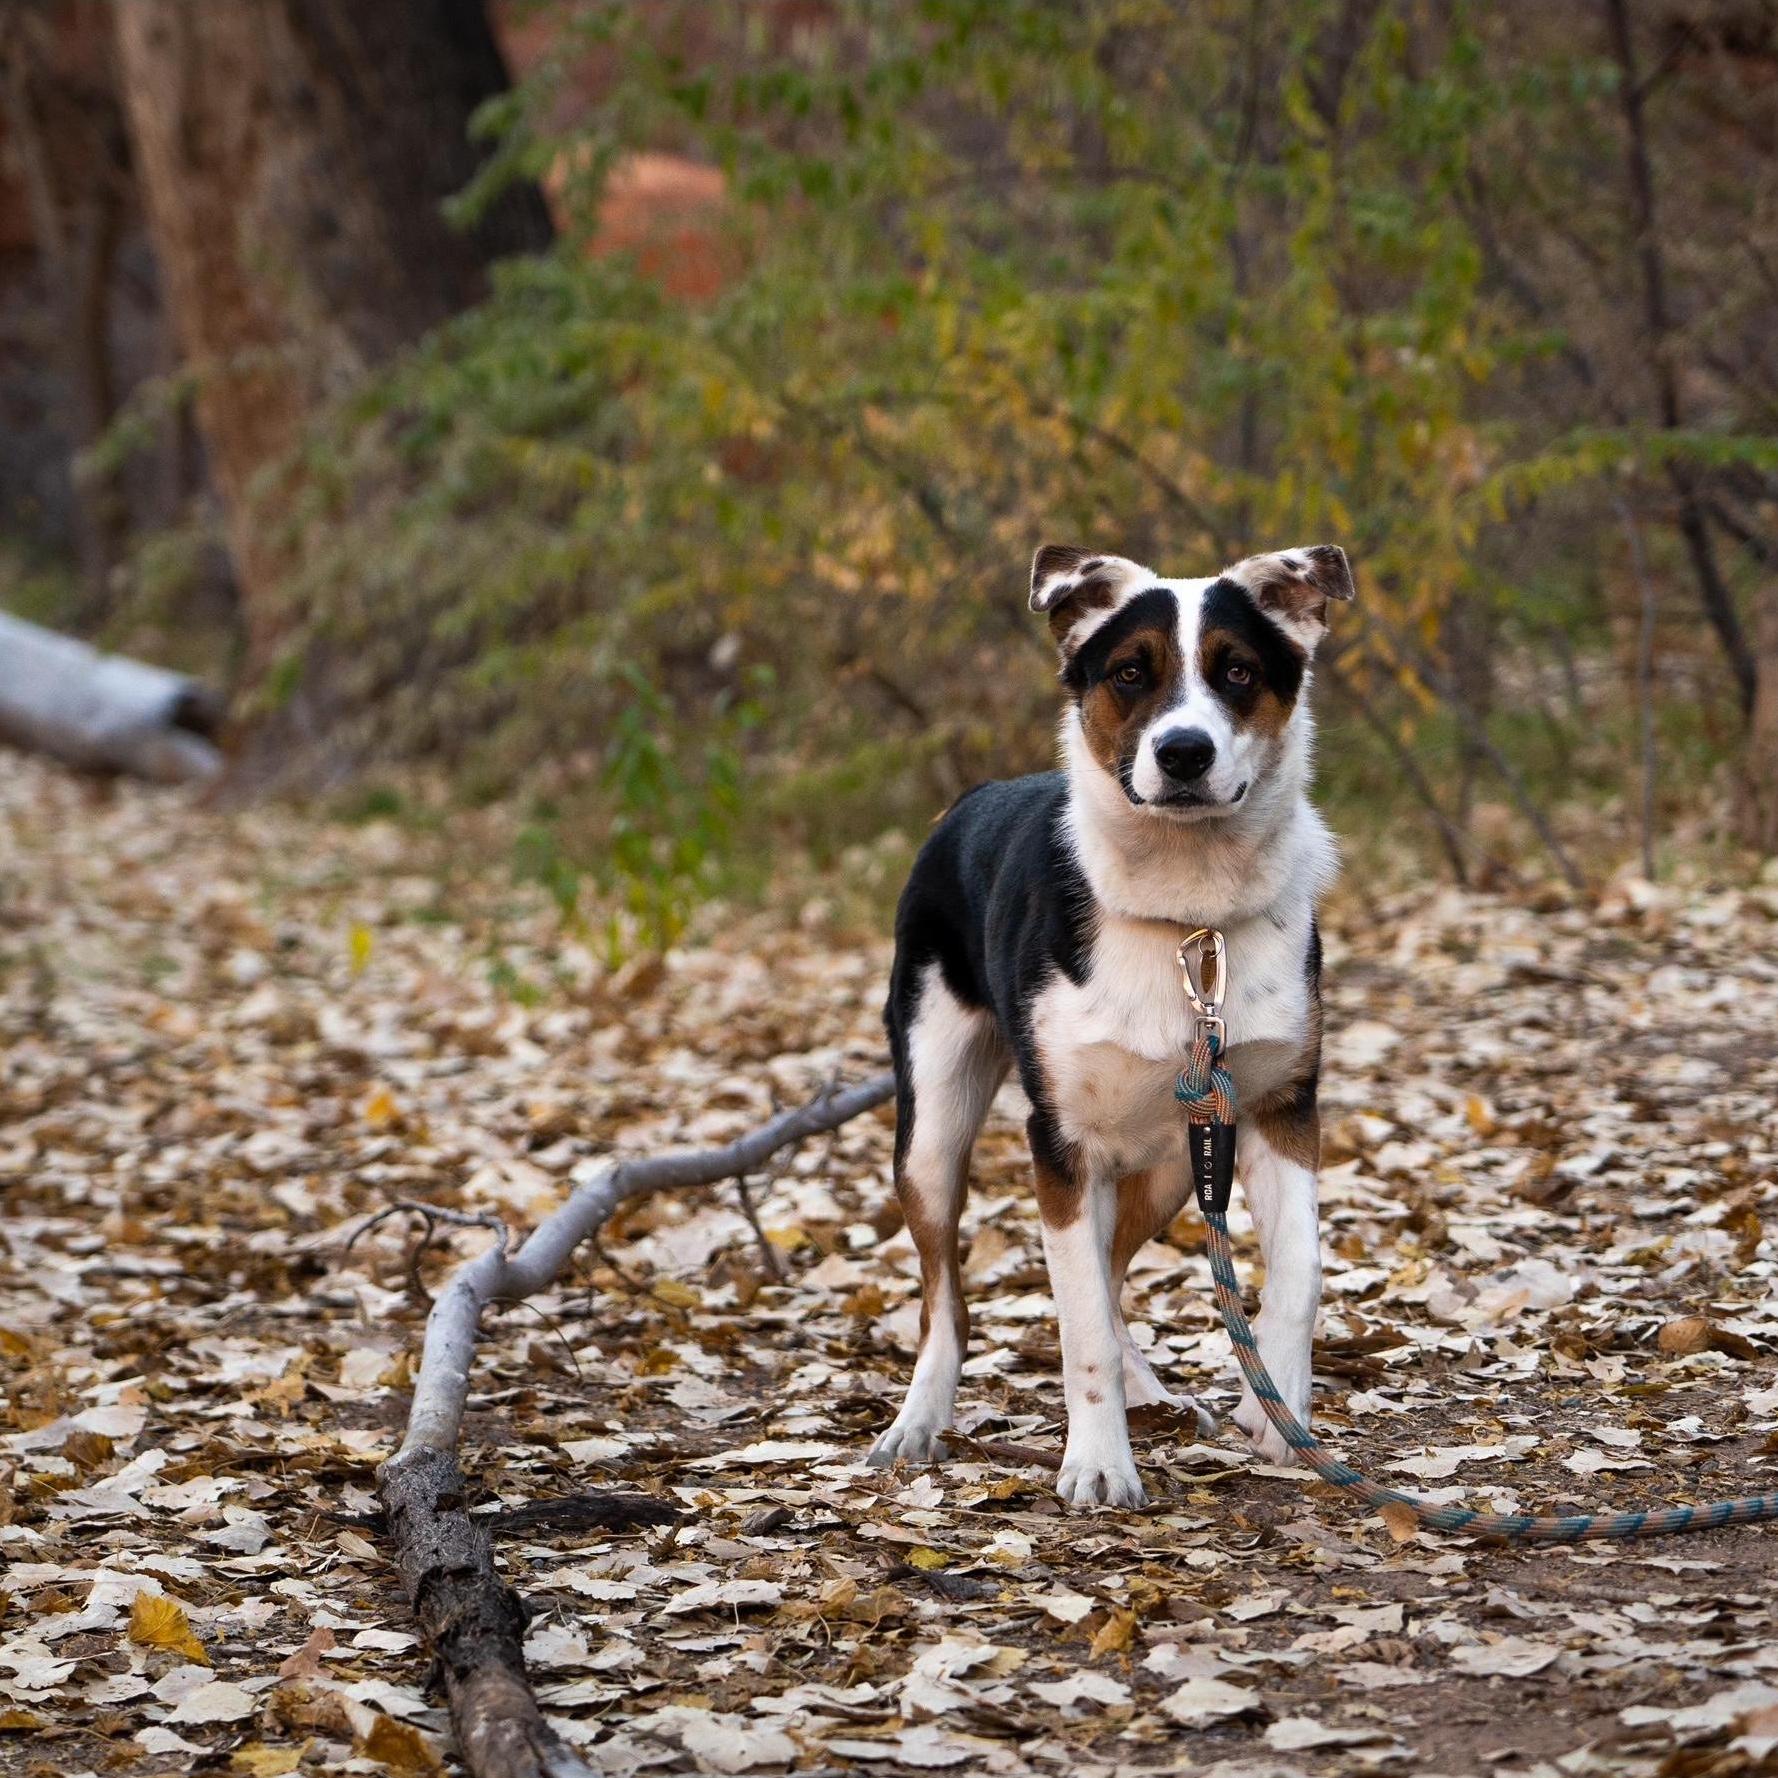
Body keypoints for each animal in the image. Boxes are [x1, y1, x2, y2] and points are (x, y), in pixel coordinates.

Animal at [867, 536, 1351, 1500]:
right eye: (1131, 672)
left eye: (1237, 671)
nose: (1184, 752)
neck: (1188, 911)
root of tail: (969, 799)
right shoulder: (1061, 1143)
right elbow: (1078, 1318)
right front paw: (1096, 1463)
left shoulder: (1278, 1109)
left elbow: (1301, 1267)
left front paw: (1281, 1414)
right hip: (933, 1121)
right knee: (948, 1296)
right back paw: (919, 1419)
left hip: (1176, 1157)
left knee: (1116, 1266)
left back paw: (1153, 1390)